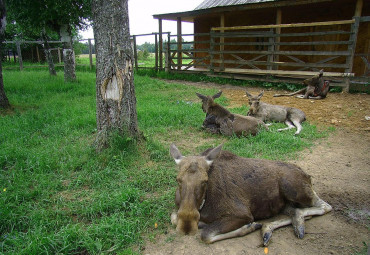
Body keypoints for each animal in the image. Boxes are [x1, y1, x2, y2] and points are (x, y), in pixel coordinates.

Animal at [171, 143, 332, 245]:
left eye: (205, 181)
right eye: (178, 179)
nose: (186, 226)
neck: (204, 204)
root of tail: (307, 175)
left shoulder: (243, 214)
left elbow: (206, 235)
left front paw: (249, 227)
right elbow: (174, 218)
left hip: (293, 189)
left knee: (325, 206)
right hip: (282, 203)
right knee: (294, 210)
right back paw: (273, 228)